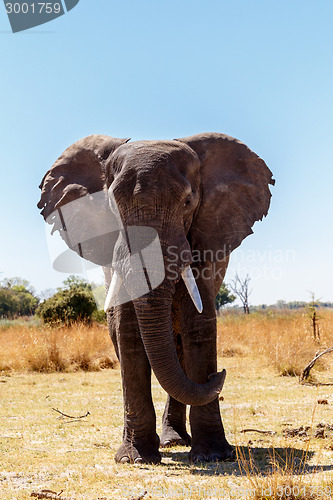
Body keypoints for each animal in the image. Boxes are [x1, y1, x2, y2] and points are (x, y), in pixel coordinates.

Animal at [37, 132, 274, 464]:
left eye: (188, 202)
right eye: (112, 206)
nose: (219, 374)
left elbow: (198, 324)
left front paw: (214, 456)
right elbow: (127, 330)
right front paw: (135, 458)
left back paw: (175, 440)